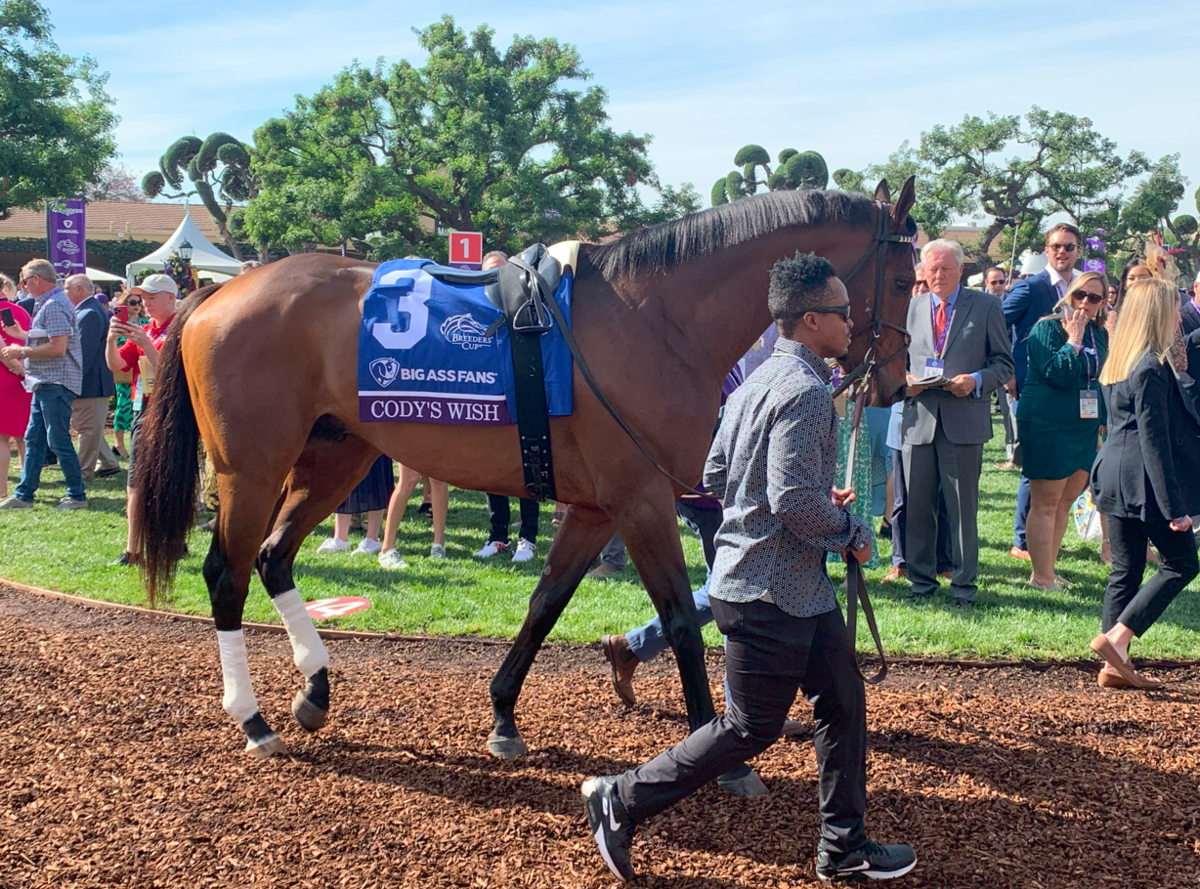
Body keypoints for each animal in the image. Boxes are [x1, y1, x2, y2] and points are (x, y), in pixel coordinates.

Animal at [135, 178, 917, 761]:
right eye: (908, 277)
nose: (896, 383)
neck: (655, 319)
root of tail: (216, 293)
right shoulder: (641, 499)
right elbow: (679, 619)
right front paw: (710, 741)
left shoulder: (598, 506)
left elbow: (545, 603)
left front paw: (504, 715)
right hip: (251, 469)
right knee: (228, 573)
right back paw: (252, 717)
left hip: (337, 453)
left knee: (273, 557)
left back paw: (314, 690)